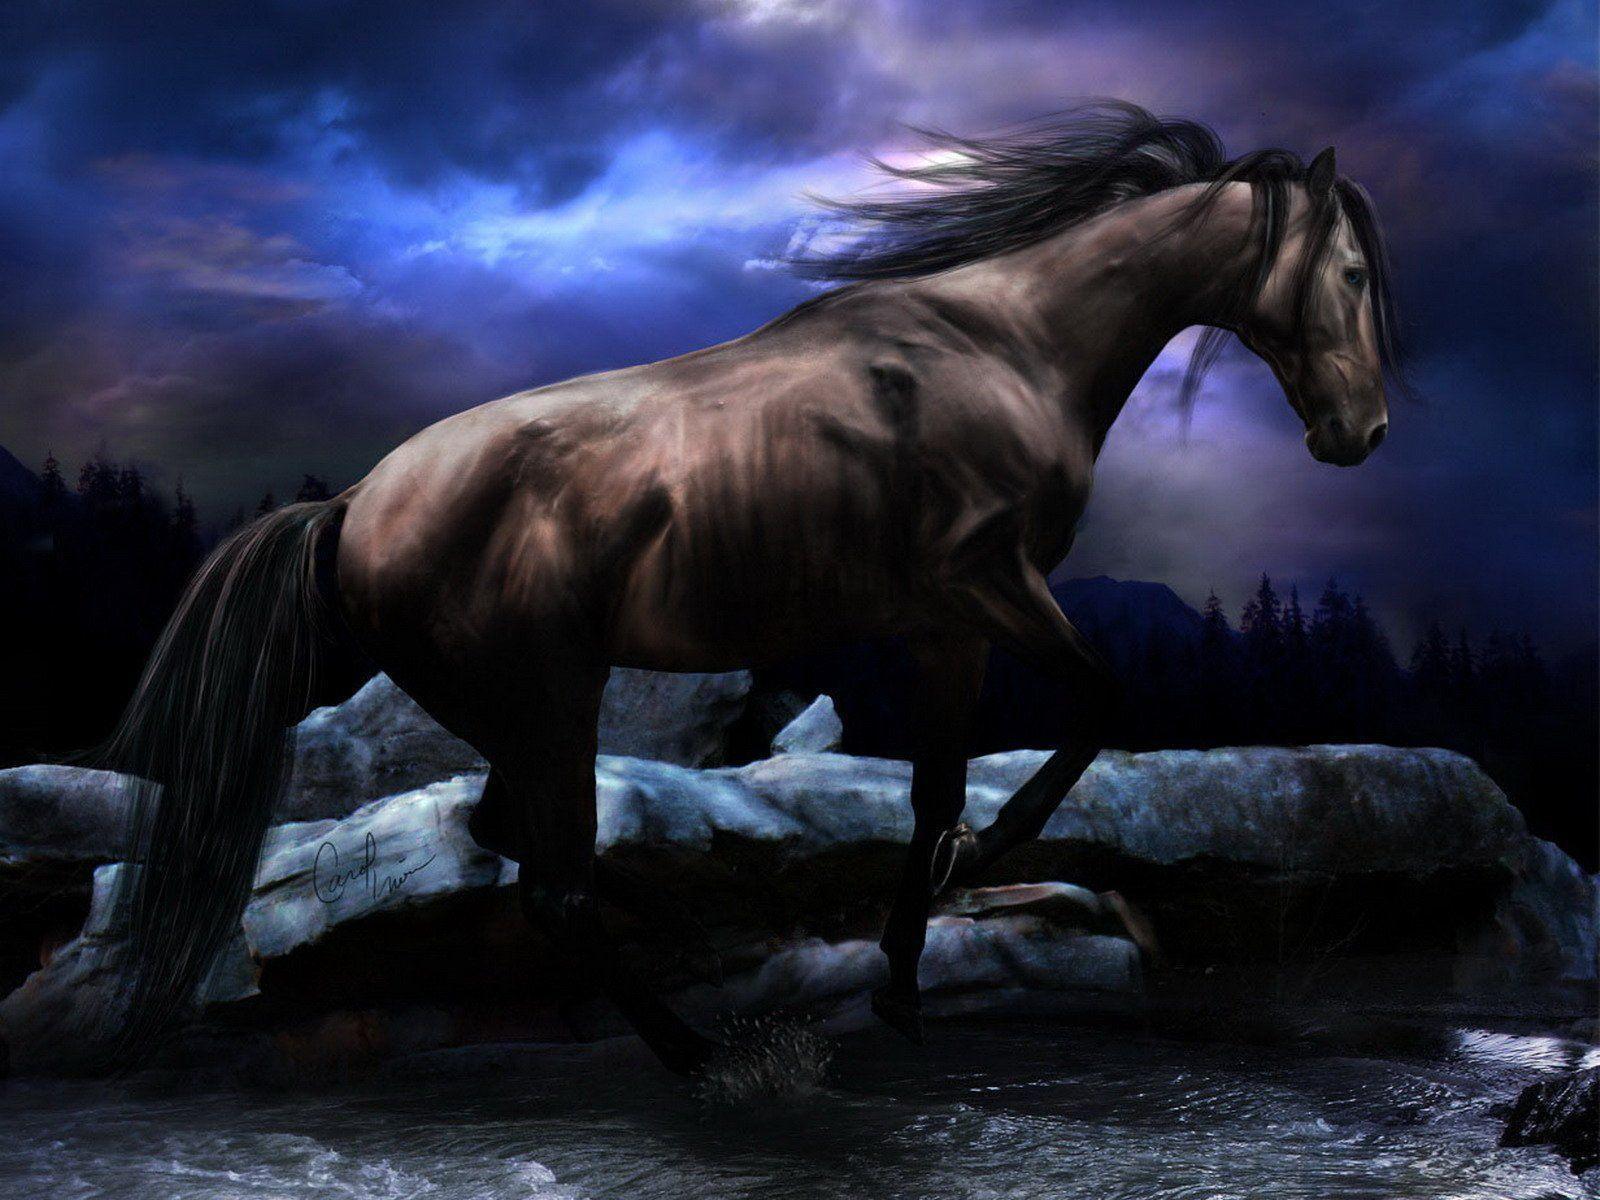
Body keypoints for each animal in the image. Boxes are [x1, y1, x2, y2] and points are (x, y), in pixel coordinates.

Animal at [102, 101, 1407, 1075]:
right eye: (1349, 271)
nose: (1362, 434)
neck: (1007, 349)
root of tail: (357, 503)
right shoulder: (989, 585)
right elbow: (1095, 704)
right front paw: (985, 860)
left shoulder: (944, 627)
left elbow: (933, 792)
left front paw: (903, 983)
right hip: (548, 697)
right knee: (555, 883)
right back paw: (698, 1052)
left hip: (511, 711)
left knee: (515, 848)